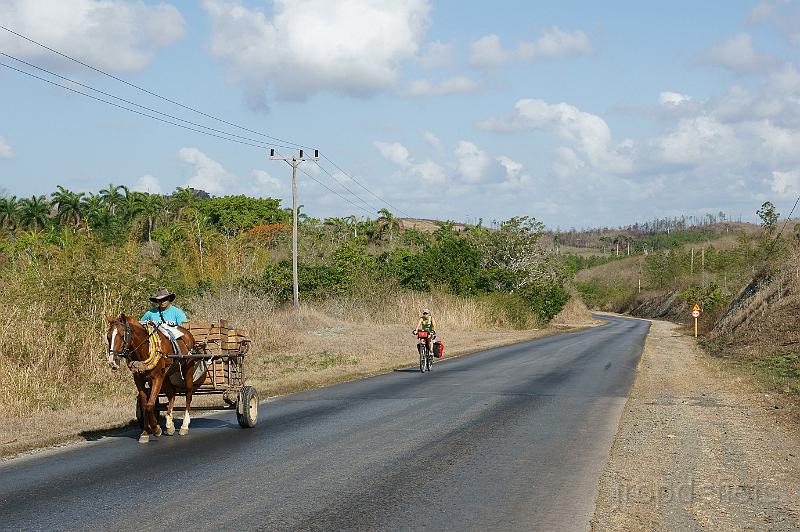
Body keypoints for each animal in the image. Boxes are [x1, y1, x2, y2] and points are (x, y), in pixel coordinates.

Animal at [105, 314, 198, 442]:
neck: (144, 349)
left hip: (188, 369)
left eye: (122, 335)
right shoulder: (139, 381)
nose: (112, 361)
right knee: (172, 394)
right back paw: (169, 425)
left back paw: (184, 426)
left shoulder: (157, 379)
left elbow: (150, 405)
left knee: (188, 394)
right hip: (166, 376)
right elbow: (144, 405)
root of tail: (187, 333)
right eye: (108, 336)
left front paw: (156, 428)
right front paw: (145, 432)